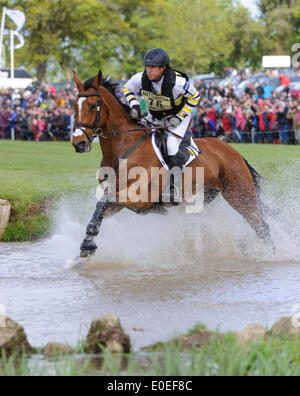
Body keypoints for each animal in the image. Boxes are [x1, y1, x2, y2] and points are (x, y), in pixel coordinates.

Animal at [71, 70, 270, 258]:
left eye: (92, 106)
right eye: (74, 107)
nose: (78, 143)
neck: (124, 147)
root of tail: (233, 151)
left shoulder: (140, 198)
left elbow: (102, 205)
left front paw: (87, 243)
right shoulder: (121, 197)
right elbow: (101, 209)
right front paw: (87, 243)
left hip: (240, 196)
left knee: (261, 227)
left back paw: (270, 255)